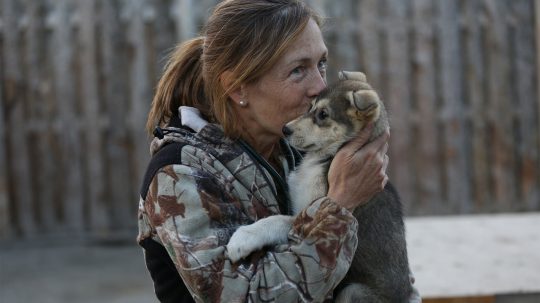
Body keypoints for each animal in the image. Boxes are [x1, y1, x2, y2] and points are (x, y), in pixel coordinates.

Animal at [228, 72, 414, 303]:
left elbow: (276, 220)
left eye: (323, 114)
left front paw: (242, 238)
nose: (285, 130)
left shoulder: (310, 214)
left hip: (353, 291)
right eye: (310, 107)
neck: (323, 158)